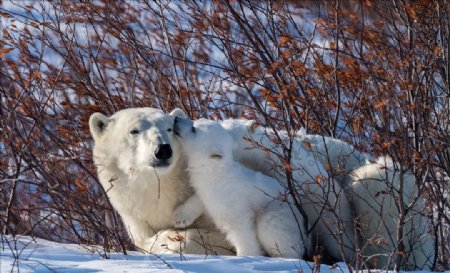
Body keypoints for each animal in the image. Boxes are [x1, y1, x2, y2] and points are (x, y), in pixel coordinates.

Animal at [171, 117, 310, 258]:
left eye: (194, 129)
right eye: (196, 120)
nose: (176, 119)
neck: (217, 173)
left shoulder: (231, 200)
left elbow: (239, 227)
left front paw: (246, 255)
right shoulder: (208, 192)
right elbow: (199, 198)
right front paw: (179, 217)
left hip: (278, 210)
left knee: (271, 229)